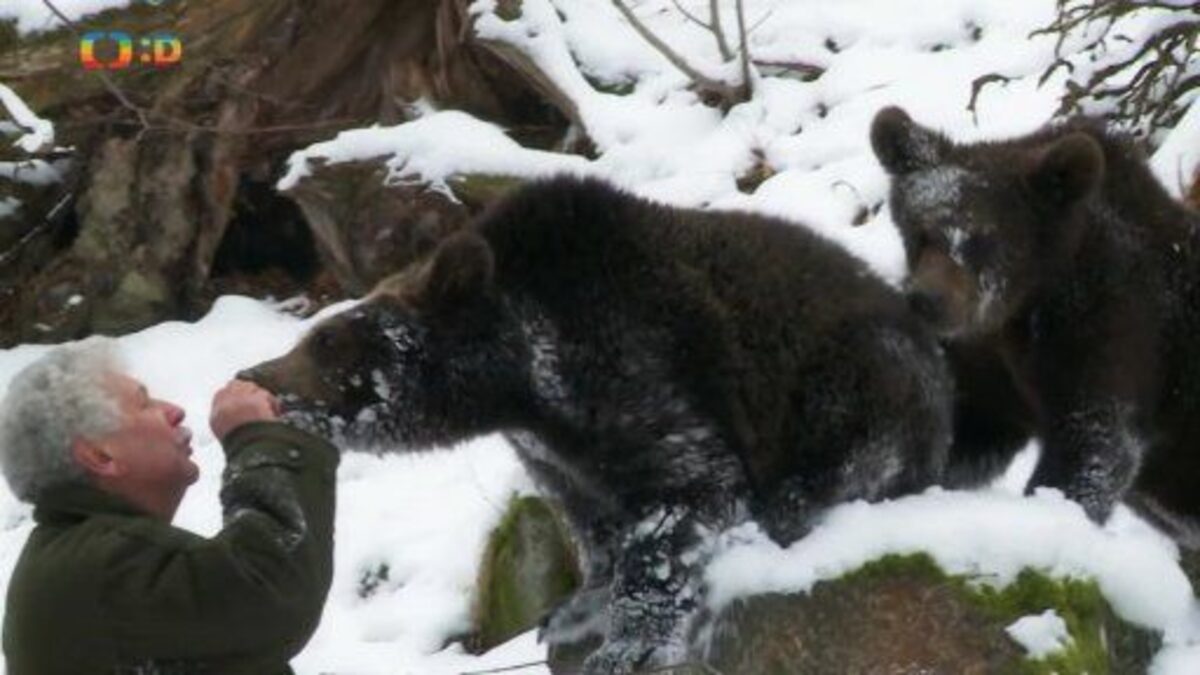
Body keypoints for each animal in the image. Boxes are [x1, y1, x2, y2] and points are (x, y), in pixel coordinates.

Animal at [238, 174, 950, 672]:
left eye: (328, 339)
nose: (253, 375)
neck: (524, 387)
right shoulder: (559, 457)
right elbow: (592, 525)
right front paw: (576, 607)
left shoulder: (645, 383)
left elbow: (681, 501)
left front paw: (632, 640)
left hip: (854, 371)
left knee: (853, 442)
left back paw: (796, 499)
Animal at [868, 105, 1200, 542]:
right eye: (919, 232)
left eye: (985, 238)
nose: (926, 299)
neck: (1017, 312)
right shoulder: (989, 379)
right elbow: (958, 437)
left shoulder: (1114, 335)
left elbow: (1096, 446)